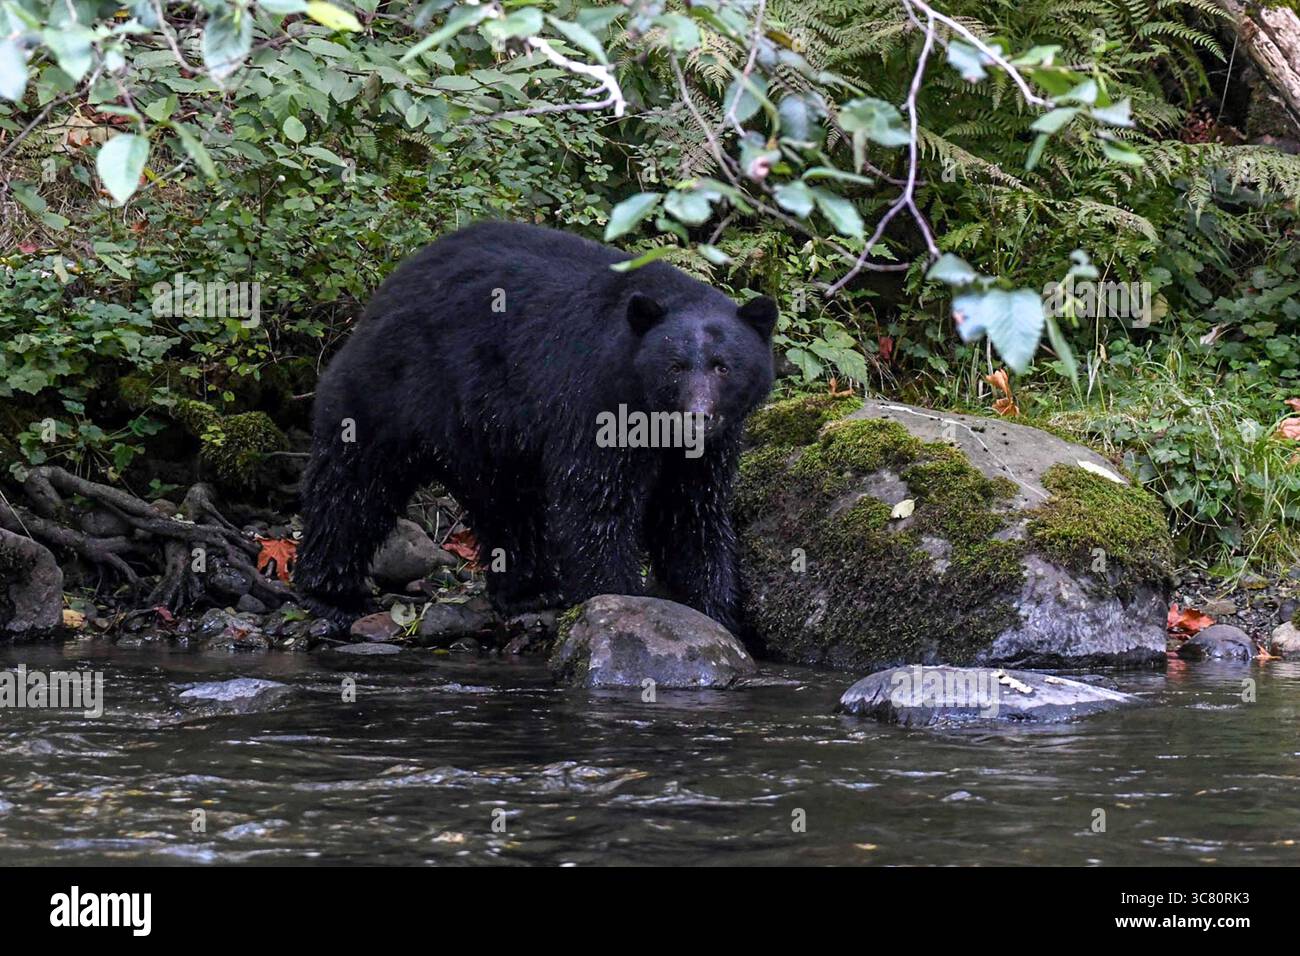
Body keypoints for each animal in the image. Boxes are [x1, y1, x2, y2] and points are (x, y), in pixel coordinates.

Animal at [294, 220, 776, 635]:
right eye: (675, 367)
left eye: (723, 366)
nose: (697, 418)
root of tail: (390, 285)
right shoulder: (595, 401)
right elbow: (596, 504)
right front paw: (619, 598)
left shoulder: (707, 453)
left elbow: (690, 515)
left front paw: (713, 610)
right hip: (395, 385)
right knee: (354, 487)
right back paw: (332, 592)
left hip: (488, 434)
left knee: (507, 506)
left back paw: (529, 589)